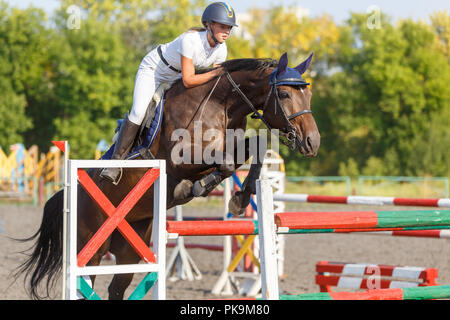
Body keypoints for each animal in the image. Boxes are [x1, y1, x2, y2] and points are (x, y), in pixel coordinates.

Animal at [16, 51, 320, 298]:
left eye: (308, 95)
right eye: (285, 95)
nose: (312, 143)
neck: (220, 104)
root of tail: (71, 191)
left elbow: (252, 148)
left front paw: (240, 197)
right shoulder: (180, 158)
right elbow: (223, 163)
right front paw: (194, 188)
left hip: (131, 247)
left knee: (117, 287)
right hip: (92, 246)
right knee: (88, 280)